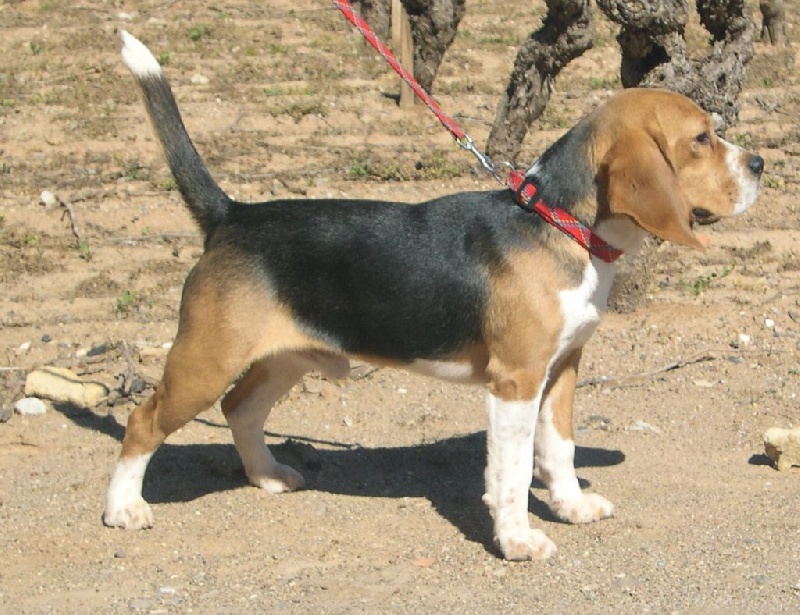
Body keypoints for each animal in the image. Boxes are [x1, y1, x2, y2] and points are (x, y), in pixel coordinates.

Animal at [106, 30, 764, 564]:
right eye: (701, 138)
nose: (758, 163)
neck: (560, 224)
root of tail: (231, 215)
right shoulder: (516, 381)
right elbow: (511, 471)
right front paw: (518, 541)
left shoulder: (563, 369)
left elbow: (560, 450)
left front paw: (572, 507)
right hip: (206, 359)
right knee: (143, 421)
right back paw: (123, 509)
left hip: (284, 357)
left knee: (240, 408)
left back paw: (266, 475)